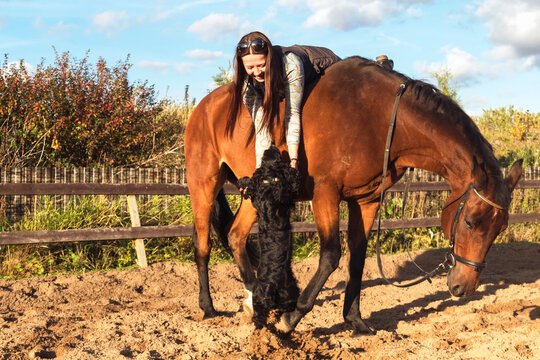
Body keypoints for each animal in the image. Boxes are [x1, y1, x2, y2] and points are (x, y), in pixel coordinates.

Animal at [238, 145, 302, 328]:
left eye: (268, 154)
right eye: (273, 154)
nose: (272, 146)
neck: (270, 180)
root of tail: (271, 286)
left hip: (273, 299)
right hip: (287, 294)